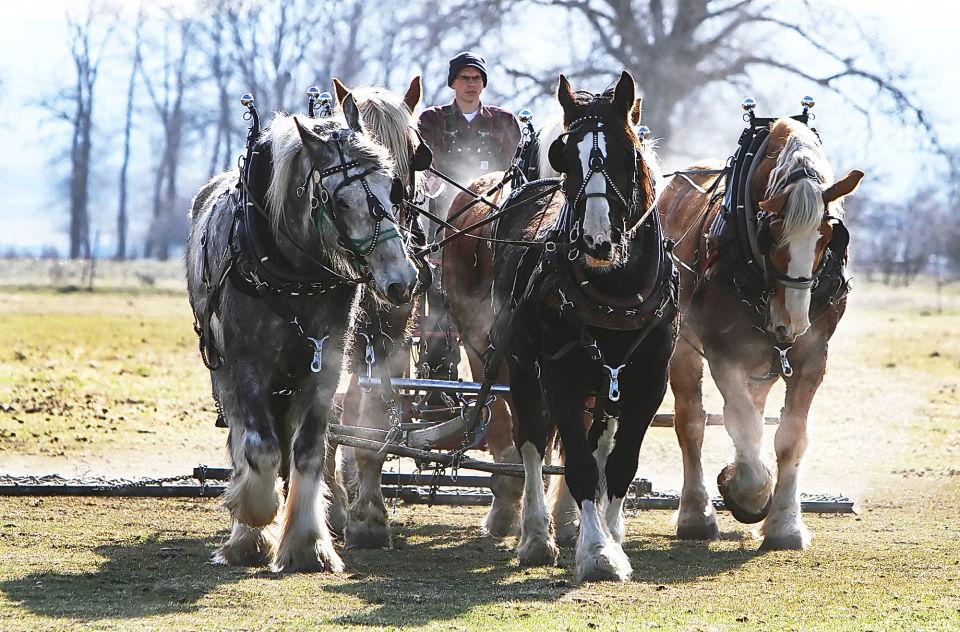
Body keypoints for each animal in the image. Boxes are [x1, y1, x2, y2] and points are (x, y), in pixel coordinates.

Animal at [186, 94, 418, 572]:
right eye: (338, 200)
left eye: (393, 188)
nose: (402, 280)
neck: (293, 272)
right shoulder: (247, 365)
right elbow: (259, 448)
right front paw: (255, 515)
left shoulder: (326, 364)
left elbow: (309, 450)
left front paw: (308, 544)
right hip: (222, 371)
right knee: (242, 437)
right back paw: (247, 535)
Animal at [492, 71, 680, 580]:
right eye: (566, 154)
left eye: (627, 152)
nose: (598, 240)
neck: (616, 291)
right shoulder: (559, 377)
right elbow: (576, 464)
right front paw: (597, 553)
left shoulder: (647, 383)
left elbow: (618, 465)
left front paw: (610, 537)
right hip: (522, 367)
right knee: (532, 443)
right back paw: (537, 535)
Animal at [660, 116, 864, 552]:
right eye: (771, 232)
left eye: (828, 235)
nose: (792, 320)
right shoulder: (722, 352)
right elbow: (744, 424)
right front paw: (749, 494)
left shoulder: (811, 356)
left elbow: (790, 436)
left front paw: (785, 523)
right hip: (682, 347)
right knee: (692, 421)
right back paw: (696, 514)